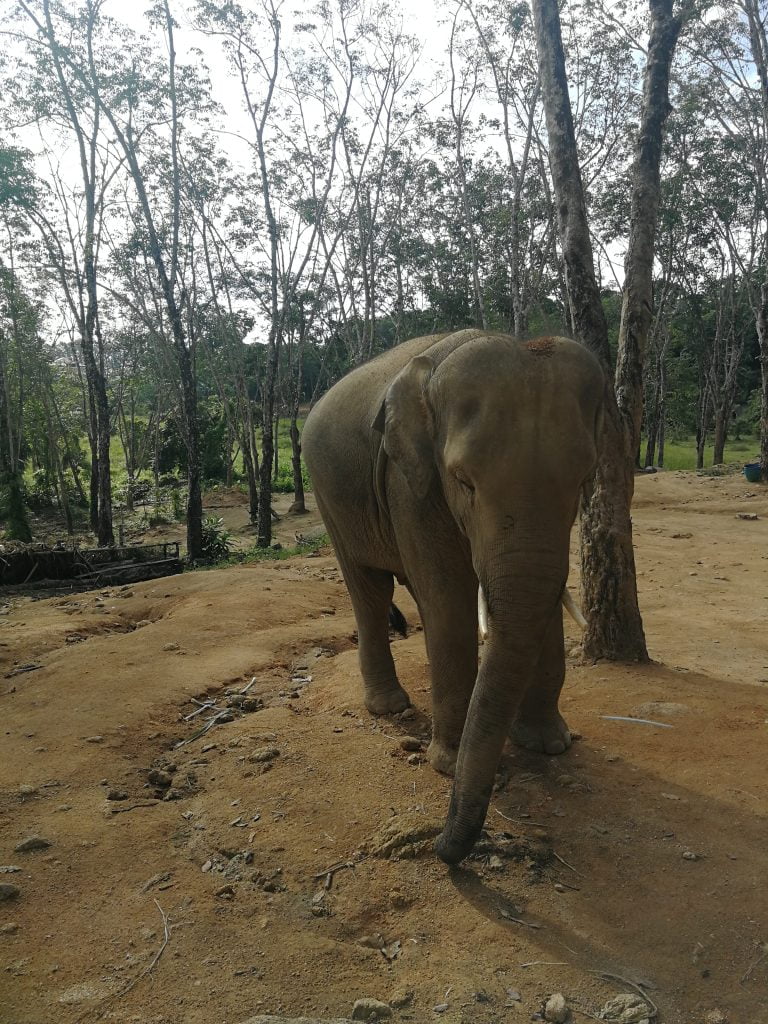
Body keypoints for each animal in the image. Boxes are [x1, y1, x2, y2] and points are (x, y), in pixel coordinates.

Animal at [303, 327, 606, 864]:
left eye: (583, 477)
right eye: (464, 481)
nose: (443, 849)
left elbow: (541, 600)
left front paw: (550, 745)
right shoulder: (410, 483)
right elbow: (448, 602)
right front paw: (446, 763)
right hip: (329, 497)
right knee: (369, 589)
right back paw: (390, 708)